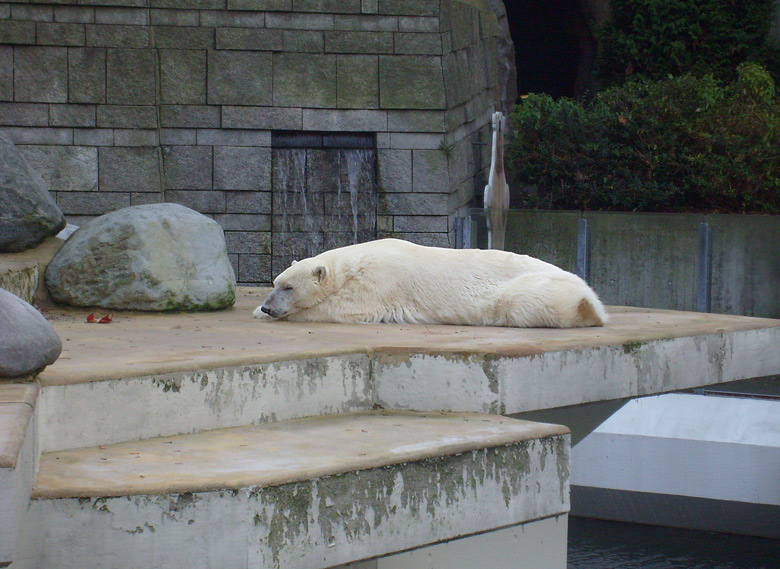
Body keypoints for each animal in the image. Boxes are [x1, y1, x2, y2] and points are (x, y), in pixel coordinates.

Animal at [256, 239, 608, 328]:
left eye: (288, 287)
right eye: (275, 282)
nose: (268, 307)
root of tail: (592, 295)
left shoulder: (379, 284)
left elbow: (345, 308)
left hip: (531, 289)